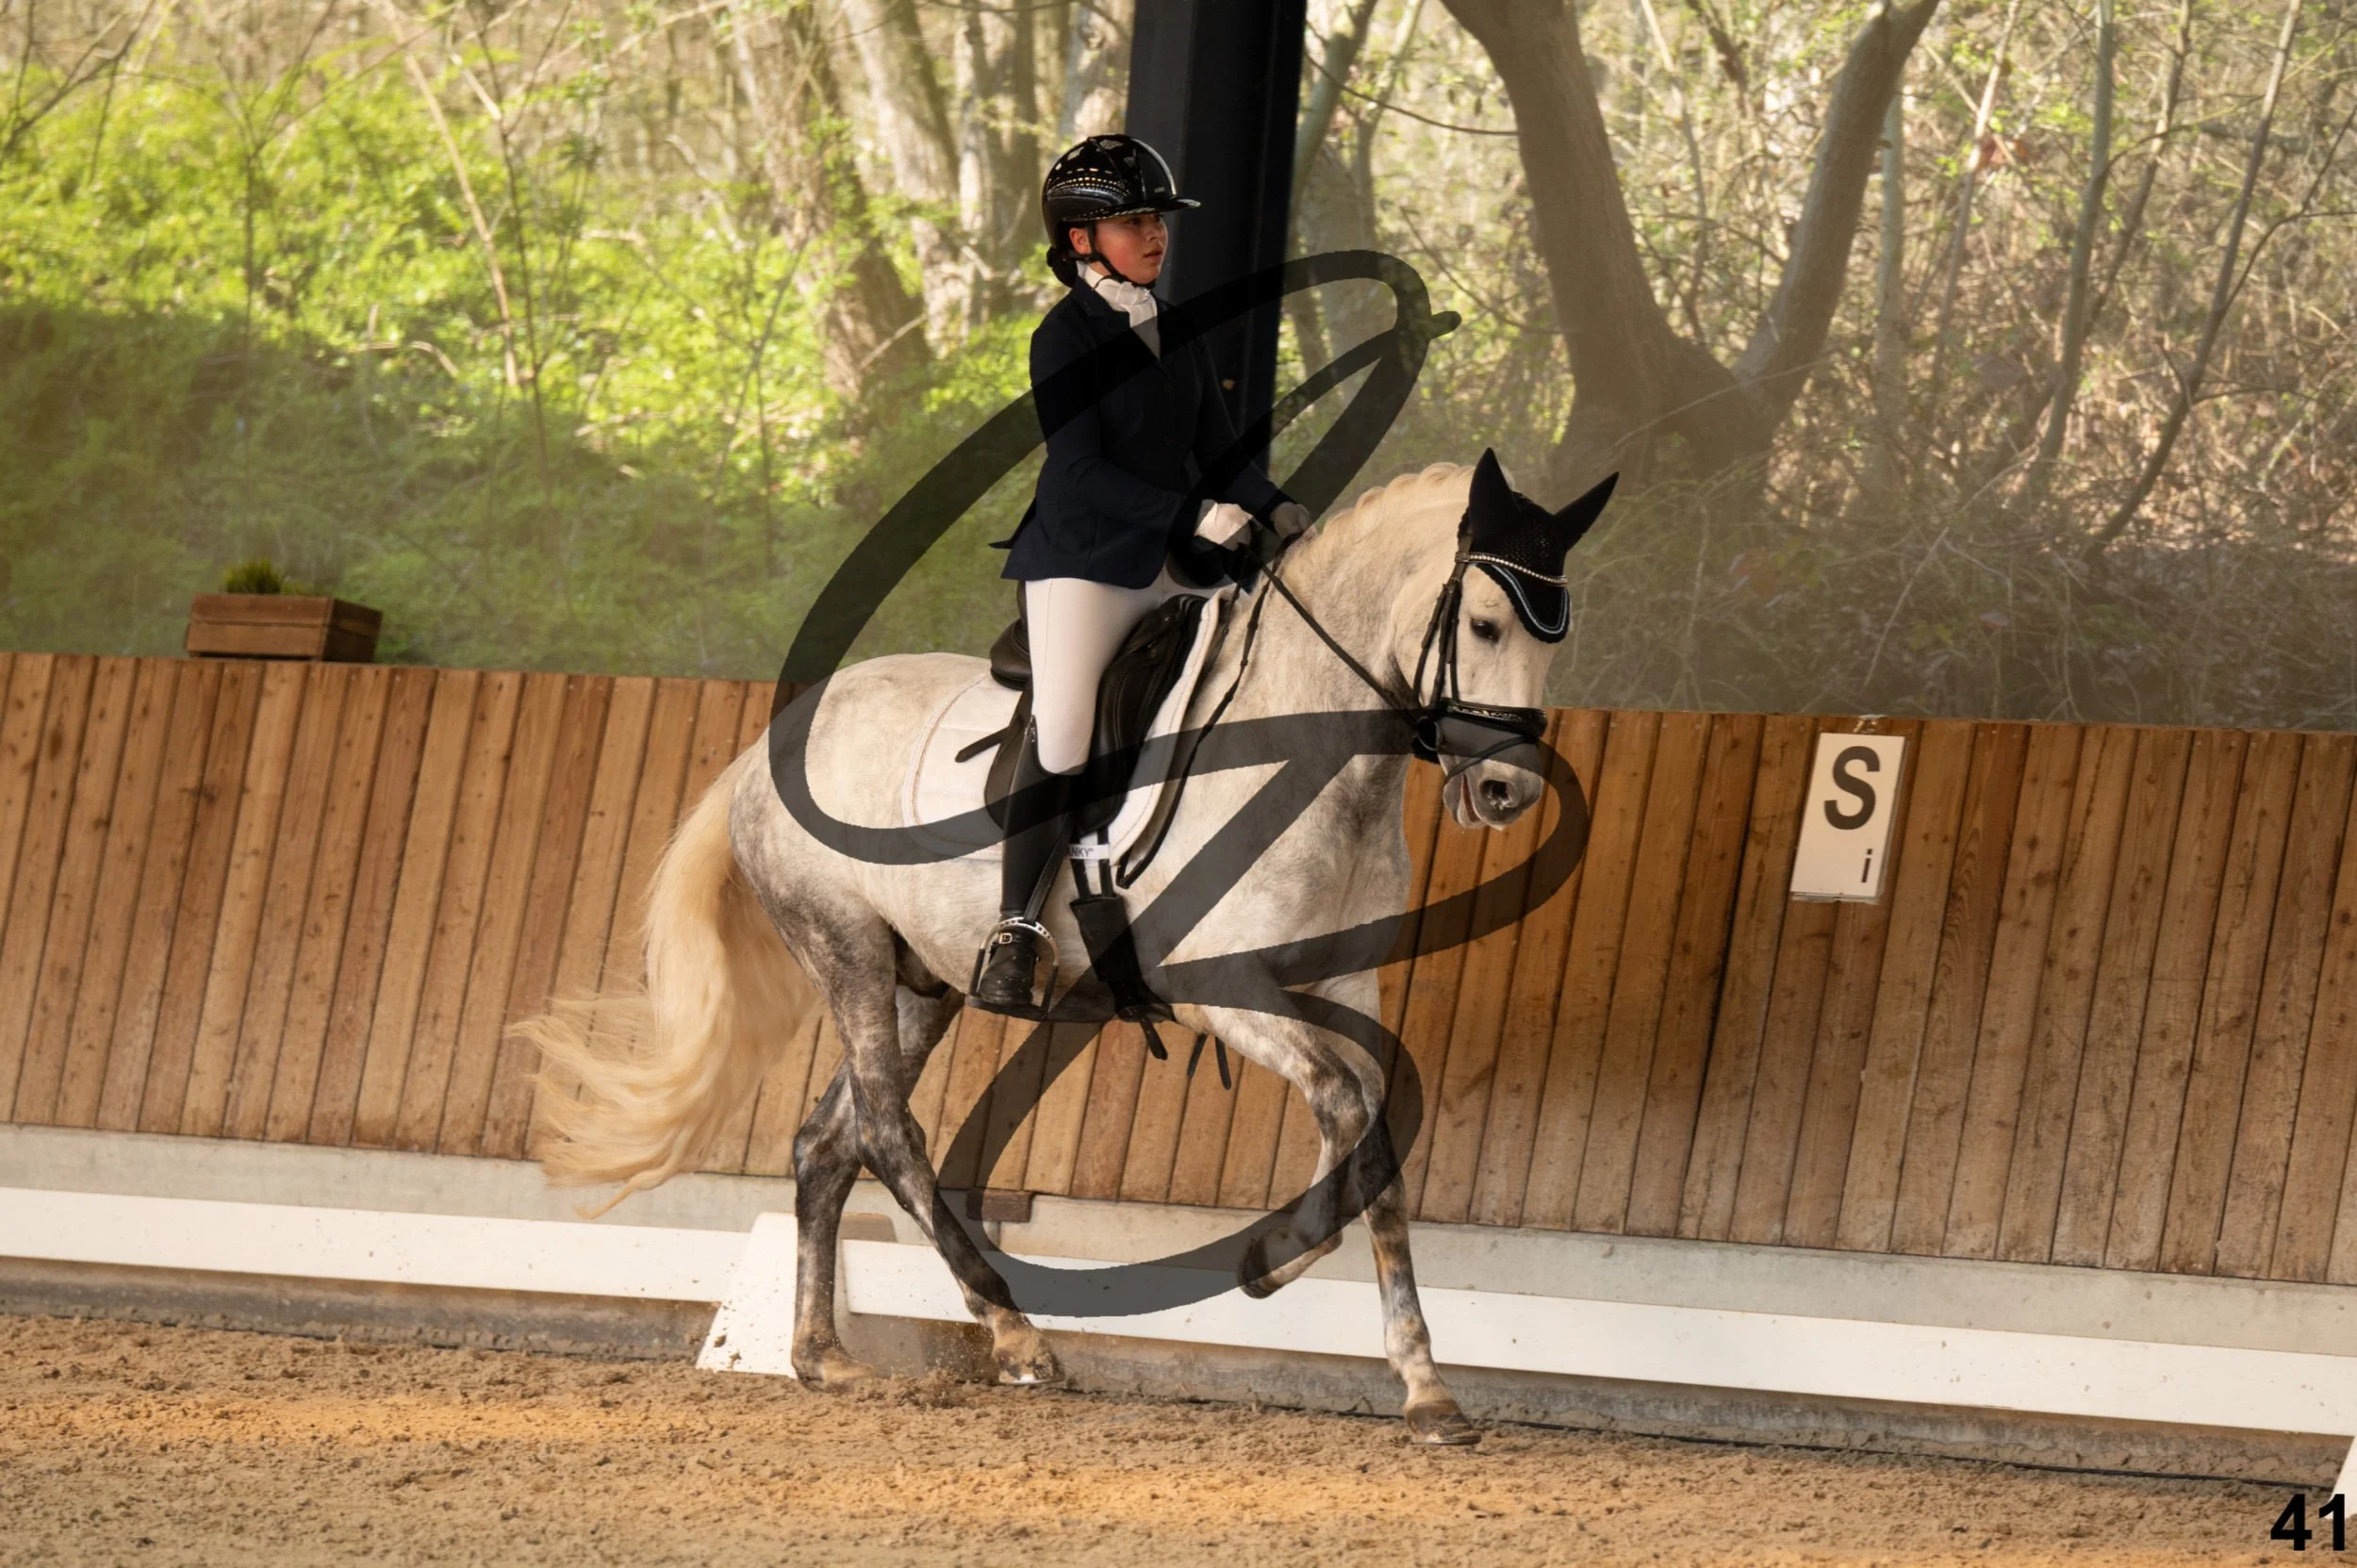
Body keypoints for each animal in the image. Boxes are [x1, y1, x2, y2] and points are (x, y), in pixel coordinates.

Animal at [520, 455, 1611, 1446]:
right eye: (1484, 624)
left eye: (1558, 637)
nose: (1506, 791)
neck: (1303, 750)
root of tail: (762, 749)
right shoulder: (1227, 989)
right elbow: (1348, 1108)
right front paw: (1279, 1264)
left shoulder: (1345, 981)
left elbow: (1374, 1133)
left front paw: (1419, 1382)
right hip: (848, 952)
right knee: (887, 1132)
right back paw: (1013, 1334)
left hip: (922, 984)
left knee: (828, 1139)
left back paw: (824, 1358)